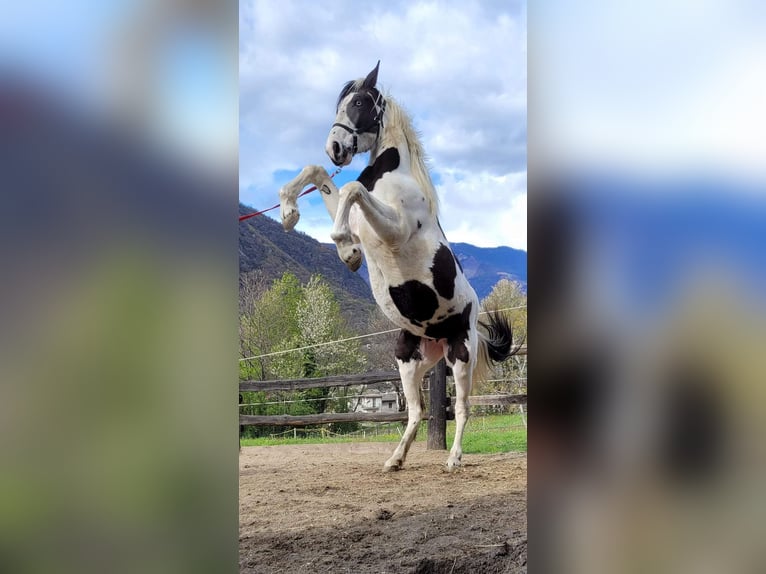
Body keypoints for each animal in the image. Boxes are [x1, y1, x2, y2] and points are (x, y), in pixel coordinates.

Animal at [280, 62, 520, 472]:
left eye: (360, 102)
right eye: (341, 103)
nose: (335, 149)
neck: (391, 177)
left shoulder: (395, 229)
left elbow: (351, 190)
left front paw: (347, 252)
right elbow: (319, 176)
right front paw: (289, 212)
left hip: (461, 355)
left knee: (462, 408)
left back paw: (453, 459)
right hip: (409, 359)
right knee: (416, 412)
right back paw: (395, 459)